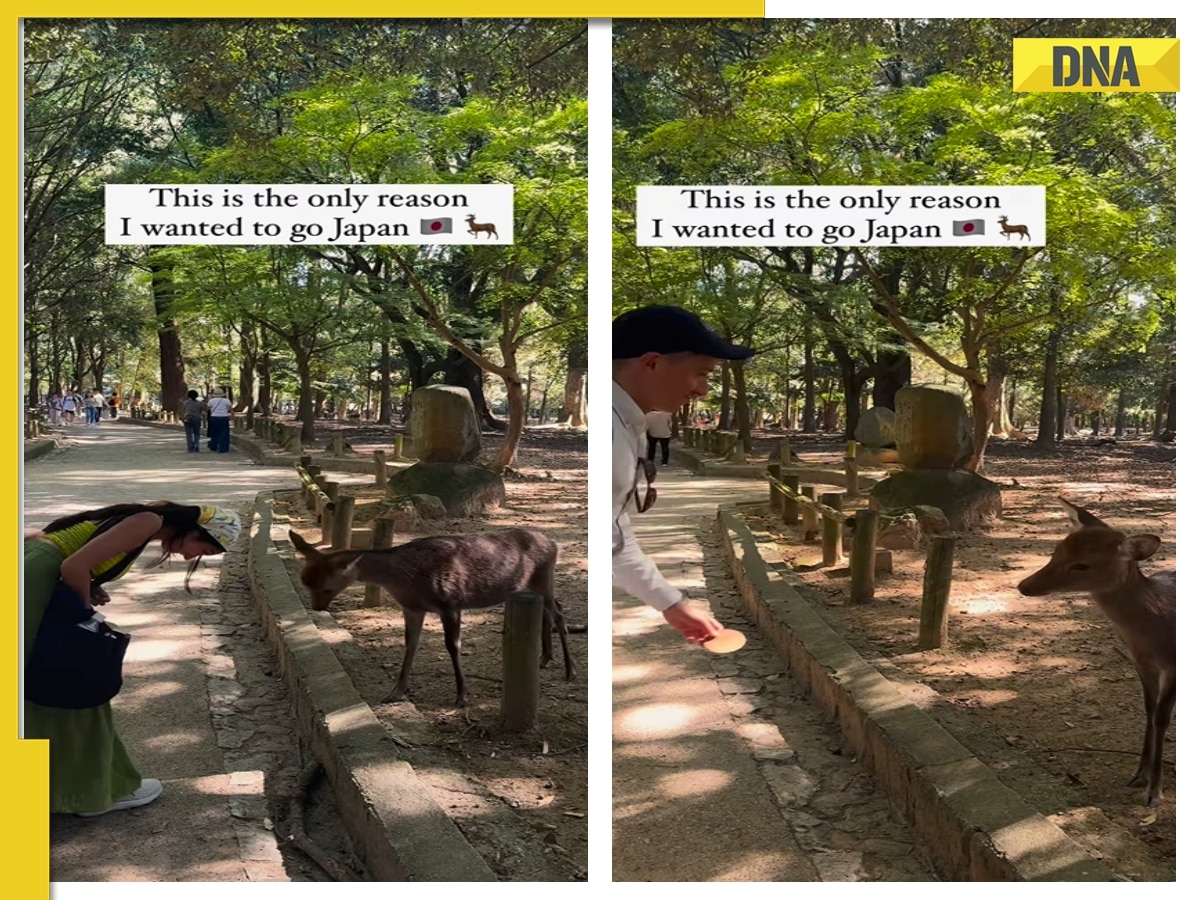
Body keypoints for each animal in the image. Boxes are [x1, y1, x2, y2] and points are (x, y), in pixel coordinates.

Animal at [288, 525, 573, 710]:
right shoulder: (412, 608)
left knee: (559, 613)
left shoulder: (451, 602)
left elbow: (452, 646)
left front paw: (462, 697)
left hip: (543, 578)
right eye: (305, 582)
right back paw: (544, 658)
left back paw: (570, 671)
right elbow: (410, 644)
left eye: (326, 588)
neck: (406, 580)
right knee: (551, 611)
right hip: (530, 587)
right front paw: (396, 692)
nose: (317, 607)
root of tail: (554, 544)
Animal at [1017, 501, 1176, 811]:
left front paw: (1154, 792)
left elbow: (1162, 717)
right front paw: (1139, 775)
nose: (1024, 586)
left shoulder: (1172, 664)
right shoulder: (1141, 663)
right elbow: (1149, 711)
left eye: (1082, 564)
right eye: (1057, 551)